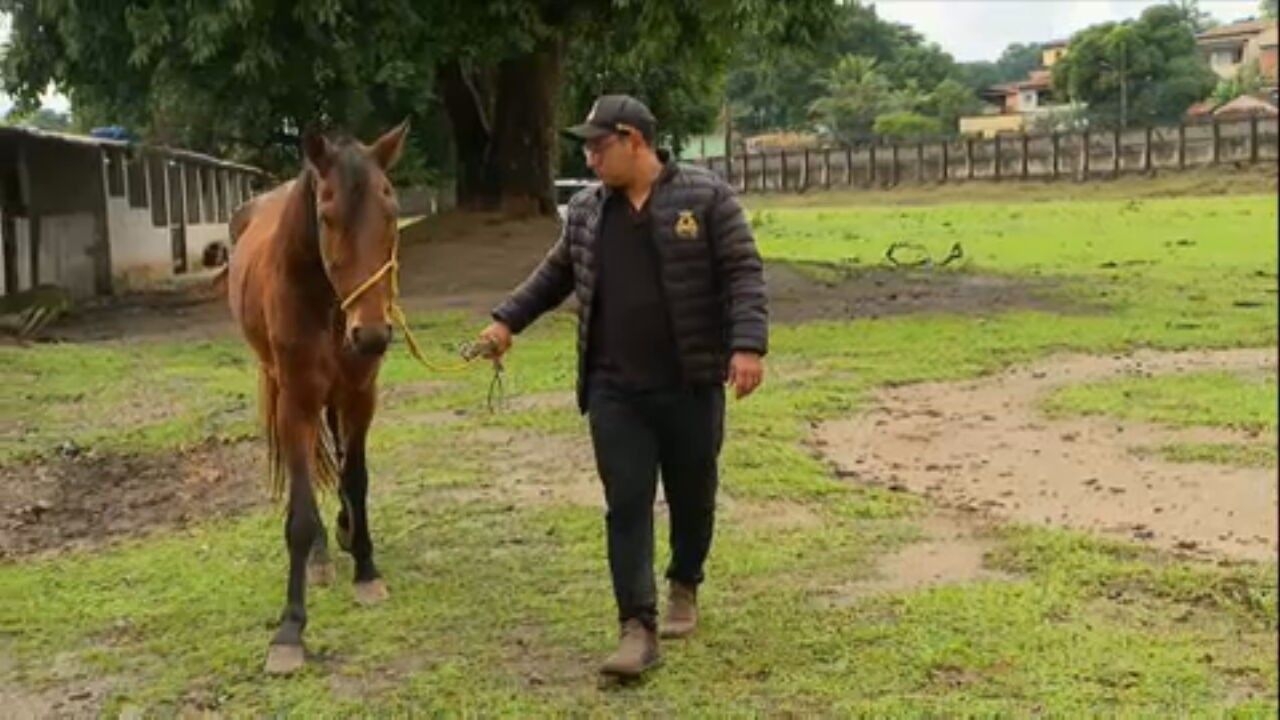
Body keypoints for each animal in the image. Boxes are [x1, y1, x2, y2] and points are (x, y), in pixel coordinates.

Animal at [226, 120, 409, 675]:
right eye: (327, 217)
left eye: (392, 212)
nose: (371, 335)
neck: (327, 305)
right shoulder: (298, 402)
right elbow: (302, 512)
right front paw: (290, 630)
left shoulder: (360, 395)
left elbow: (356, 478)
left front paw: (366, 566)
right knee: (304, 467)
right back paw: (323, 555)